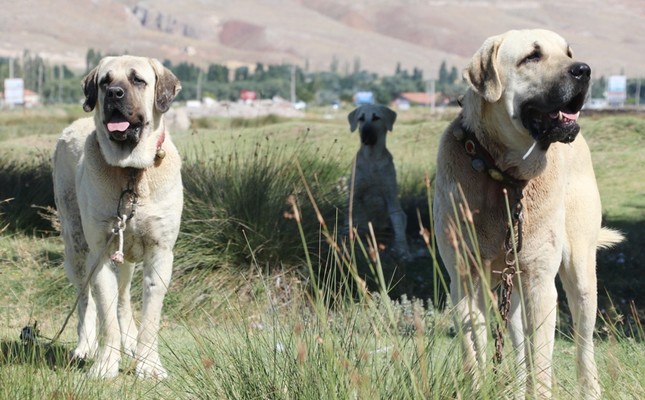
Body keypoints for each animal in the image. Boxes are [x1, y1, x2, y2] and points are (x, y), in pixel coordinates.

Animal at [52, 55, 184, 378]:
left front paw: (148, 365)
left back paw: (131, 344)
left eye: (138, 80)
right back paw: (84, 347)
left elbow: (150, 319)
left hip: (125, 259)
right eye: (104, 81)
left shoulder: (160, 252)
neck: (131, 172)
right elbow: (105, 314)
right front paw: (106, 365)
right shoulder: (101, 253)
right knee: (85, 300)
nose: (114, 93)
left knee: (123, 299)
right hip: (77, 248)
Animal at [432, 29, 624, 398]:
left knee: (583, 344)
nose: (584, 70)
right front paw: (479, 387)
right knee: (519, 346)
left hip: (580, 274)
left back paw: (588, 387)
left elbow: (543, 361)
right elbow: (473, 351)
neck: (504, 175)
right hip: (513, 291)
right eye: (532, 57)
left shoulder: (540, 282)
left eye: (568, 53)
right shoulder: (465, 279)